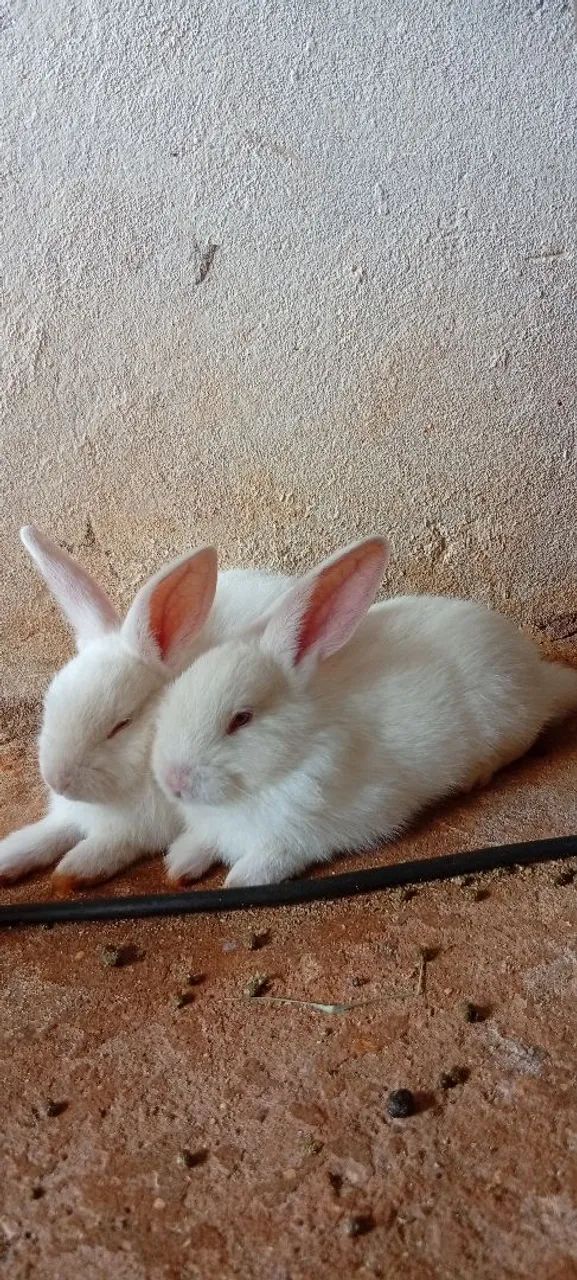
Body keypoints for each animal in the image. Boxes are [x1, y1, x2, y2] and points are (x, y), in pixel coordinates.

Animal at [0, 527, 290, 886]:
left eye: (121, 724)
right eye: (50, 702)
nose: (57, 780)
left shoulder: (144, 828)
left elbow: (113, 843)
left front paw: (76, 867)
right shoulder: (69, 815)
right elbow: (50, 833)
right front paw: (11, 855)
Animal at [152, 536, 577, 888]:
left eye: (241, 719)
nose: (173, 781)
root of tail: (539, 674)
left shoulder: (323, 830)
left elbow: (279, 854)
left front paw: (241, 879)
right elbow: (204, 841)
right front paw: (179, 863)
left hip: (504, 715)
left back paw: (476, 775)